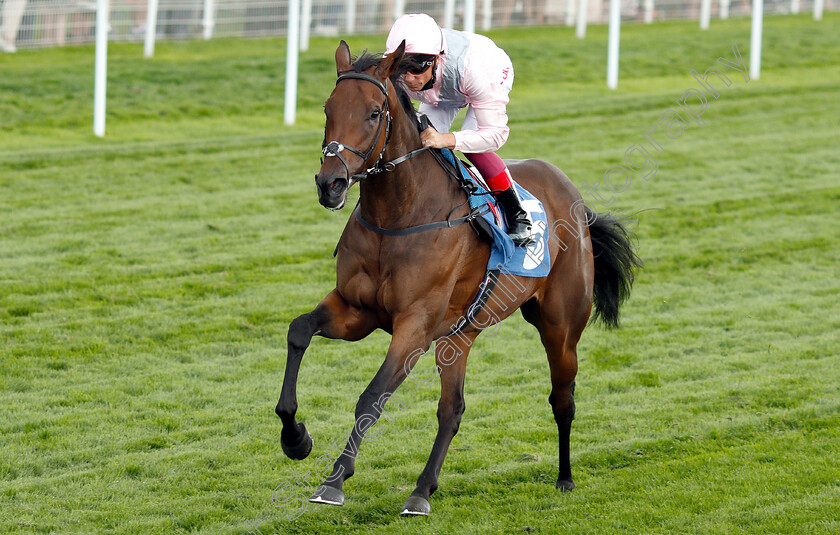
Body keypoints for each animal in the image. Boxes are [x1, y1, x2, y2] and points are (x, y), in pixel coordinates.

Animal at [278, 39, 640, 516]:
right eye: (327, 109)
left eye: (374, 113)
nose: (330, 184)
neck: (400, 214)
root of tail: (575, 199)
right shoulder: (356, 310)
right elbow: (299, 331)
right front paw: (295, 438)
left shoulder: (414, 325)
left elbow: (372, 396)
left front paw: (335, 480)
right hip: (459, 335)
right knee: (452, 409)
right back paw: (421, 490)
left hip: (560, 328)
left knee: (563, 400)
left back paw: (564, 477)